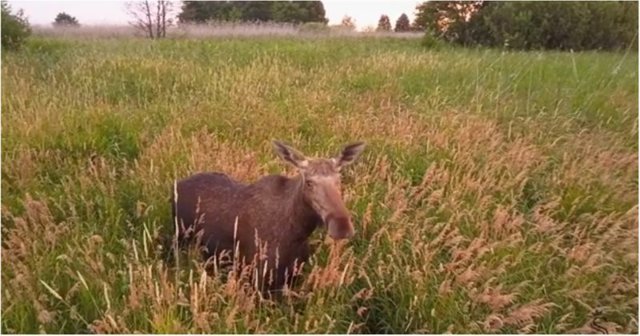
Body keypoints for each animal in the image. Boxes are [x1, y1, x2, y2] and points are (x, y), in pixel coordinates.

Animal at [171, 140, 364, 292]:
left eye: (339, 180)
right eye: (309, 183)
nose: (342, 226)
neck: (298, 232)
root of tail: (177, 184)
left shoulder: (292, 277)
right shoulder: (259, 278)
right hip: (180, 240)